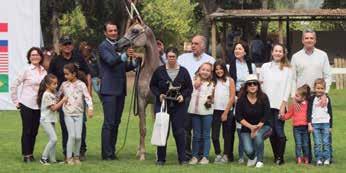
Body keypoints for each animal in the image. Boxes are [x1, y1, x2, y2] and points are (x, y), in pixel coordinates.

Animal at [116, 20, 159, 161]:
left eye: (135, 30)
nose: (117, 45)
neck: (151, 73)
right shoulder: (141, 101)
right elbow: (142, 128)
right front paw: (142, 155)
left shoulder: (157, 102)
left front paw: (158, 153)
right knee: (142, 123)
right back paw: (139, 151)